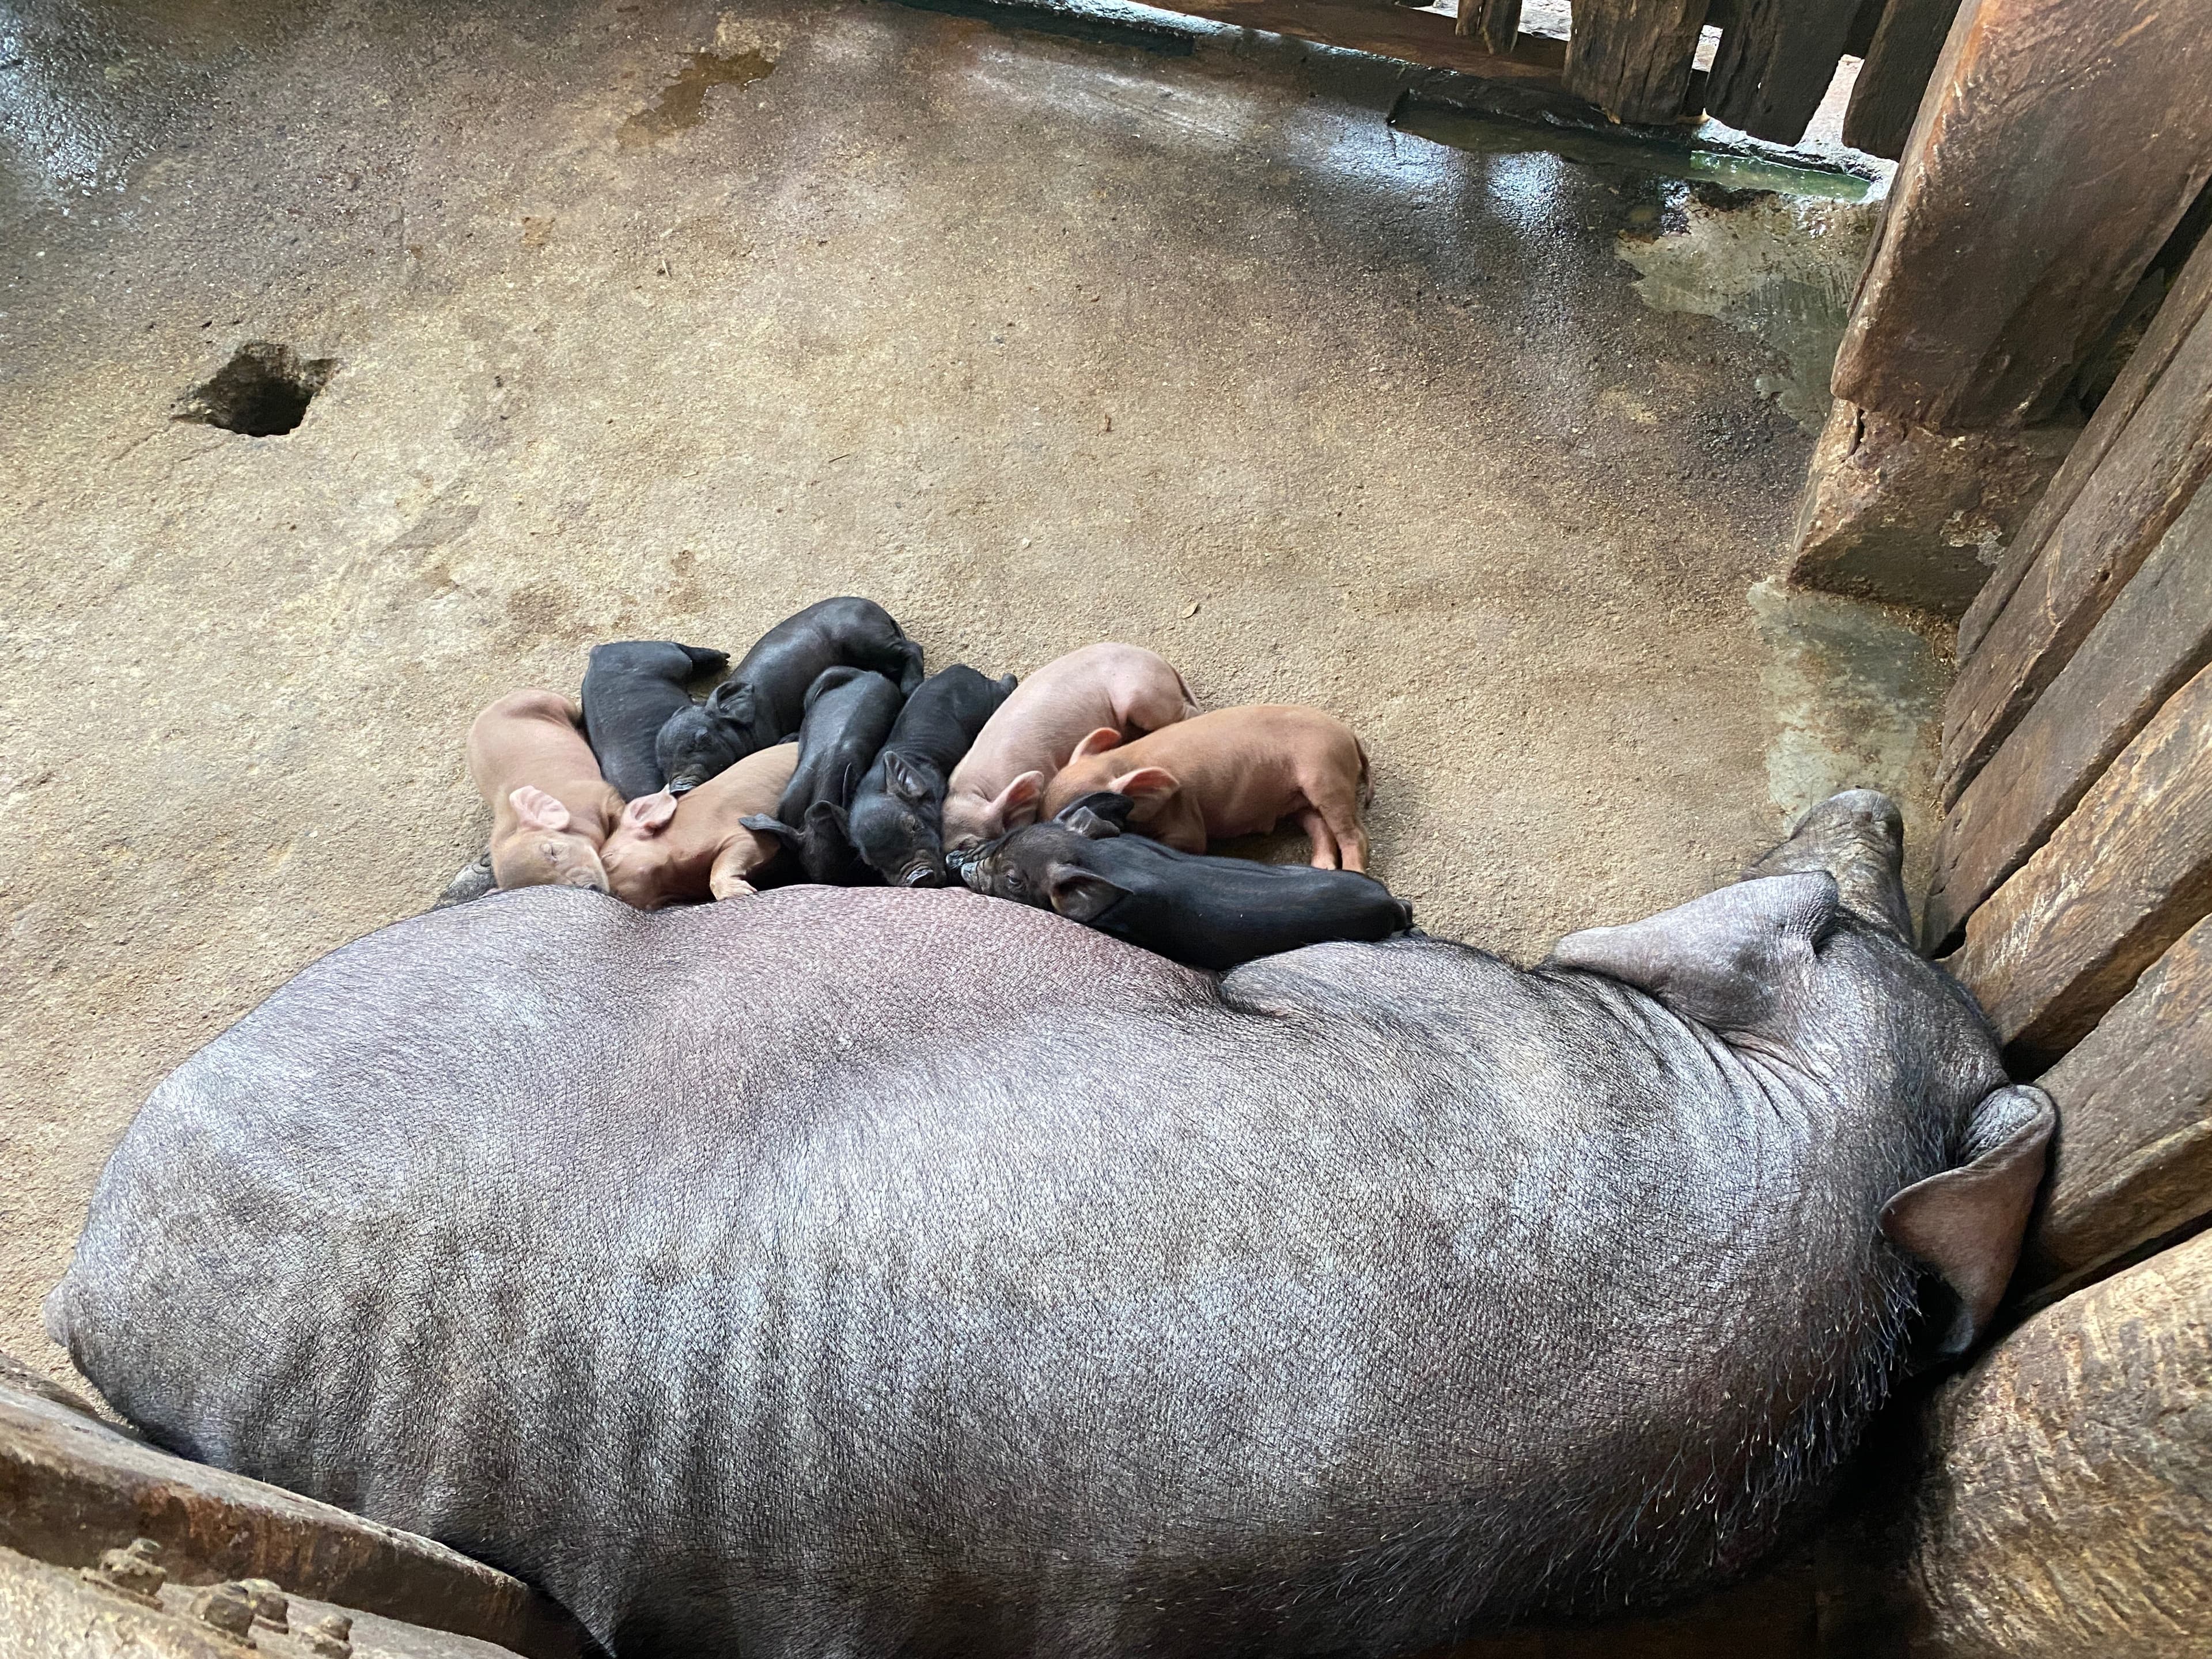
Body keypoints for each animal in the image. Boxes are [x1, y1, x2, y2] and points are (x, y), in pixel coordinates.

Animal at [464, 690, 623, 893]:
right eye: (547, 885)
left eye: (553, 851)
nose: (590, 887)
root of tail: (493, 704)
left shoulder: (600, 794)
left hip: (551, 701)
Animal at [655, 598, 924, 796]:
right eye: (663, 763)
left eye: (703, 738)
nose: (679, 787)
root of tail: (878, 610)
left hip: (864, 639)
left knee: (913, 649)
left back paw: (911, 688)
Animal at [848, 665, 1019, 888]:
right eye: (873, 864)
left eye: (915, 826)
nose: (918, 877)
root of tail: (963, 669)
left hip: (988, 697)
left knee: (1005, 687)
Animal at [1040, 703, 1372, 871]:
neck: (1122, 763)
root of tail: (1349, 736)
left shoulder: (1185, 820)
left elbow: (1193, 843)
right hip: (1298, 800)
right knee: (1319, 826)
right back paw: (1322, 868)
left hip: (1325, 776)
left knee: (1353, 833)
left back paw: (1352, 873)